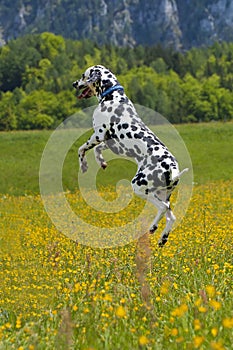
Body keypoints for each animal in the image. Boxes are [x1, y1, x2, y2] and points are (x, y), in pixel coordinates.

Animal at [73, 65, 187, 246]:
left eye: (83, 75)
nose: (74, 83)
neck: (112, 96)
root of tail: (173, 170)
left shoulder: (98, 135)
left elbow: (81, 149)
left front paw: (83, 165)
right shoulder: (111, 143)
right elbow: (98, 151)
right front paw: (101, 162)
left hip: (140, 187)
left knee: (163, 208)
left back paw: (155, 228)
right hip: (162, 193)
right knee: (171, 216)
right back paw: (161, 235)